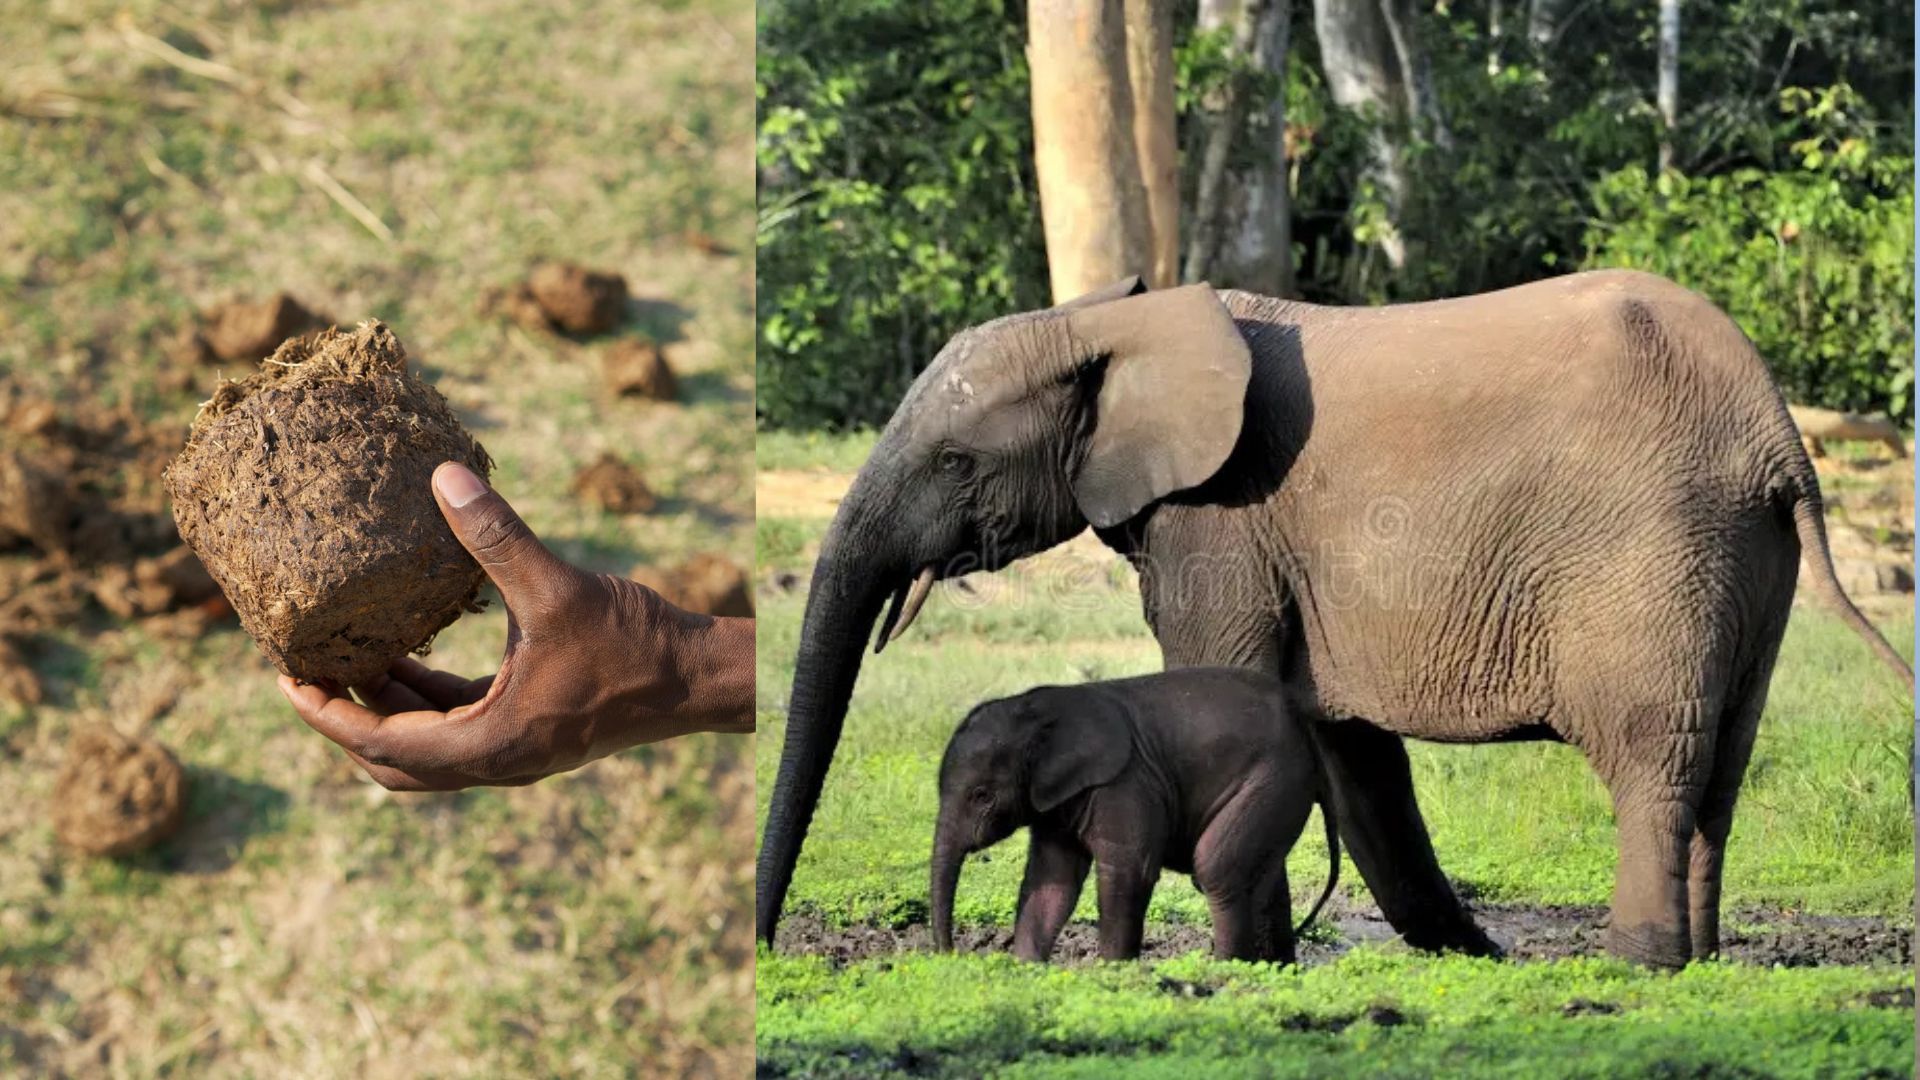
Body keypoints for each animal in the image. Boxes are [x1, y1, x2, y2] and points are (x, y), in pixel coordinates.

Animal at [930, 667, 1340, 964]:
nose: (950, 956)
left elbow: (1128, 871)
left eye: (981, 796)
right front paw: (1025, 969)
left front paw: (1113, 971)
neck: (1036, 709)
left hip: (1274, 779)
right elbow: (1050, 882)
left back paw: (1225, 970)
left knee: (1216, 870)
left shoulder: (1126, 784)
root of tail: (1305, 726)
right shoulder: (1054, 803)